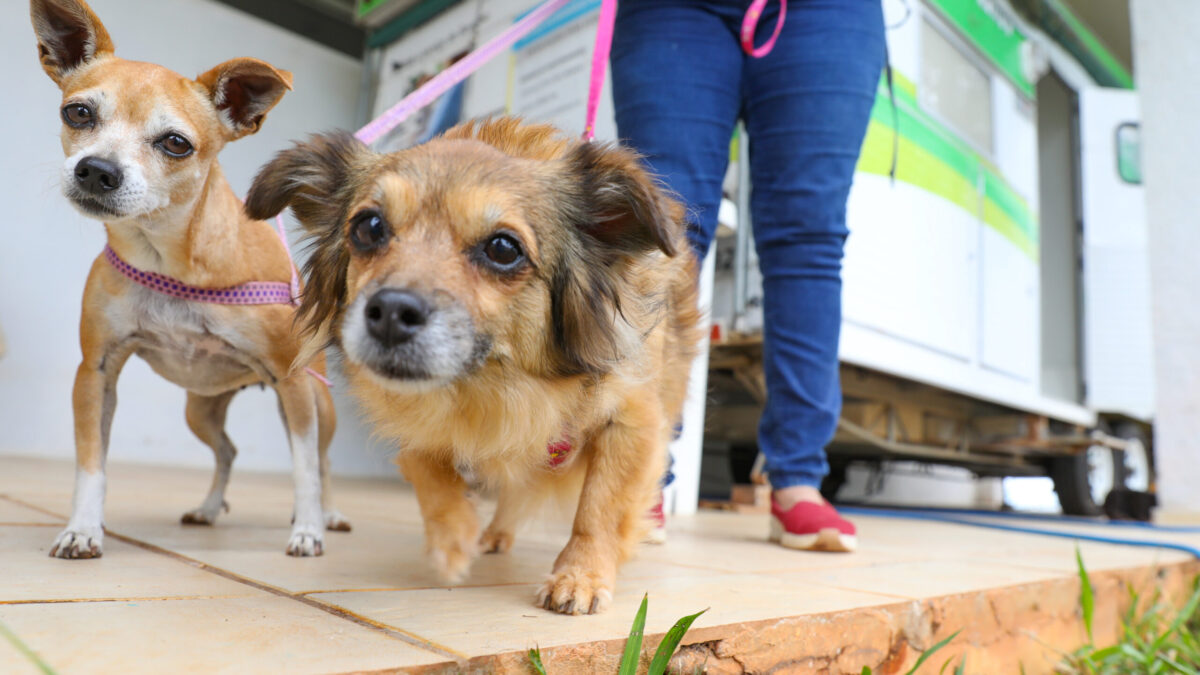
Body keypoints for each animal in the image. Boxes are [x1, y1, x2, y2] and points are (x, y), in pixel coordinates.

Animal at [248, 118, 700, 612]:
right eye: (369, 227)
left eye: (503, 248)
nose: (390, 312)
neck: (495, 385)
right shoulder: (416, 417)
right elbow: (430, 470)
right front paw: (452, 541)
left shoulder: (633, 422)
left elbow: (599, 507)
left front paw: (579, 576)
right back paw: (492, 534)